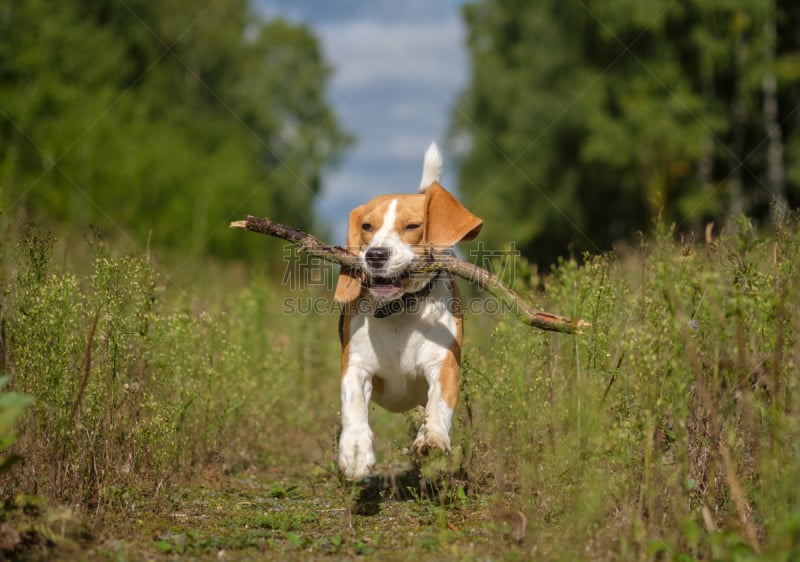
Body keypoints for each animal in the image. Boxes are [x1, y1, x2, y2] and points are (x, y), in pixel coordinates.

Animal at [336, 142, 484, 480]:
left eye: (413, 226)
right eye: (367, 227)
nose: (376, 254)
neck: (398, 311)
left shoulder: (443, 364)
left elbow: (438, 404)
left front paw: (433, 437)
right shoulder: (356, 365)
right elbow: (353, 405)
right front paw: (355, 451)